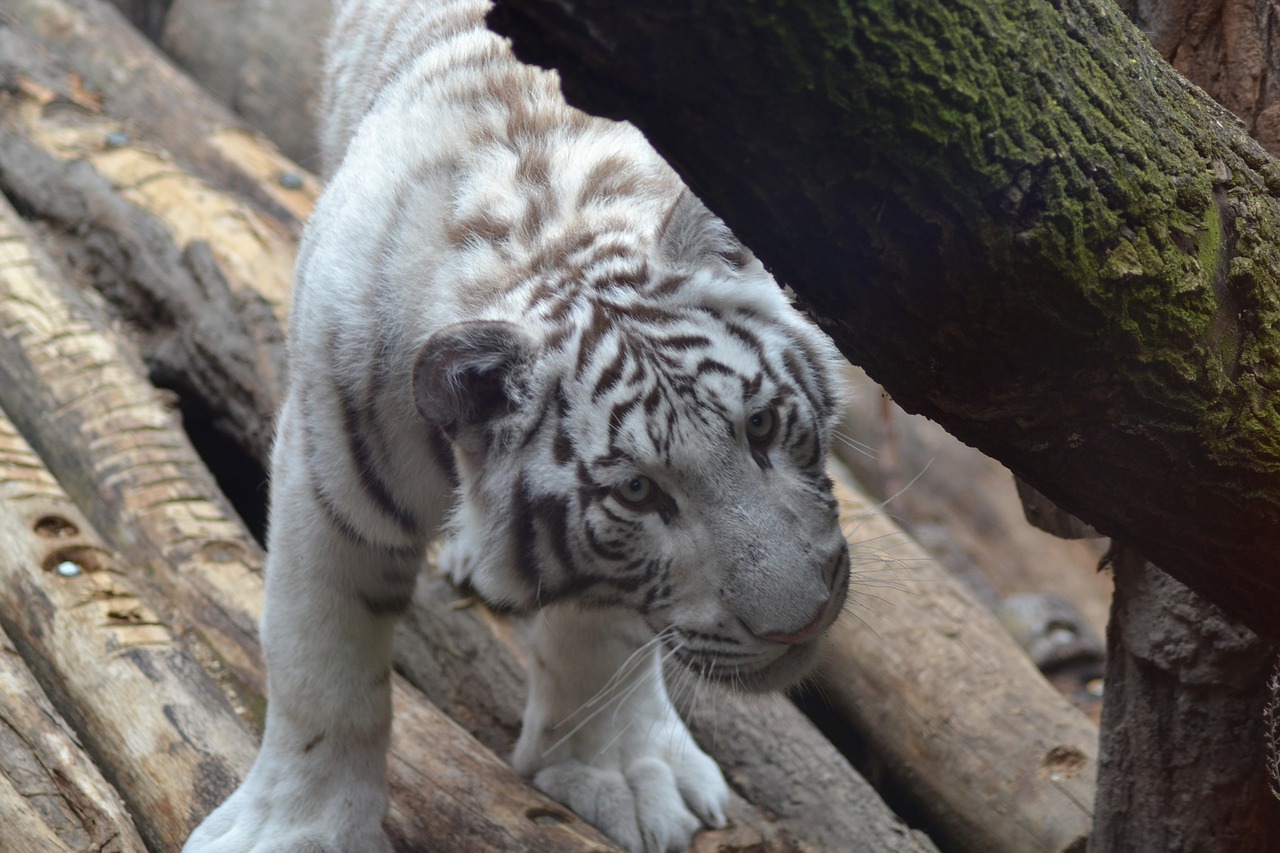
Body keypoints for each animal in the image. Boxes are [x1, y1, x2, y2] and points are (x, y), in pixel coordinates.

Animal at [186, 1, 849, 850]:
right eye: (638, 492)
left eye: (761, 425)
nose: (798, 626)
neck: (546, 230)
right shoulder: (329, 476)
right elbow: (320, 666)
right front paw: (299, 829)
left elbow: (604, 636)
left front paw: (622, 774)